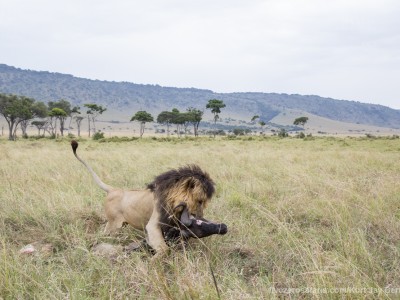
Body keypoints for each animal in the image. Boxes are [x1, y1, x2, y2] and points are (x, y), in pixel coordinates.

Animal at [70, 141, 217, 253]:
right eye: (200, 201)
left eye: (203, 203)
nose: (199, 217)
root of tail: (113, 190)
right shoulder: (153, 224)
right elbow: (163, 247)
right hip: (113, 225)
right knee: (103, 234)